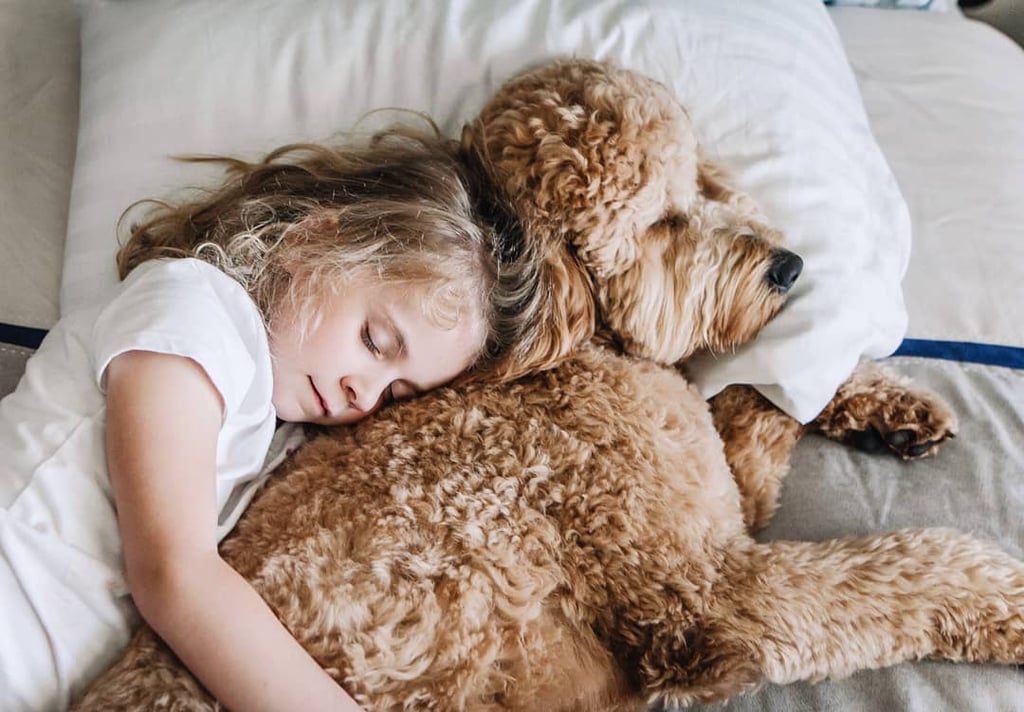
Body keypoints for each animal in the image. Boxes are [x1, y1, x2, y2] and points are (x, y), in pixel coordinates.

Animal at [74, 59, 1015, 712]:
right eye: (662, 221)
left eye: (701, 181)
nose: (788, 266)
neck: (568, 345)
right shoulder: (703, 596)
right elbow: (898, 569)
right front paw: (1008, 604)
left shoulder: (713, 493)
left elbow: (755, 405)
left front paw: (885, 406)